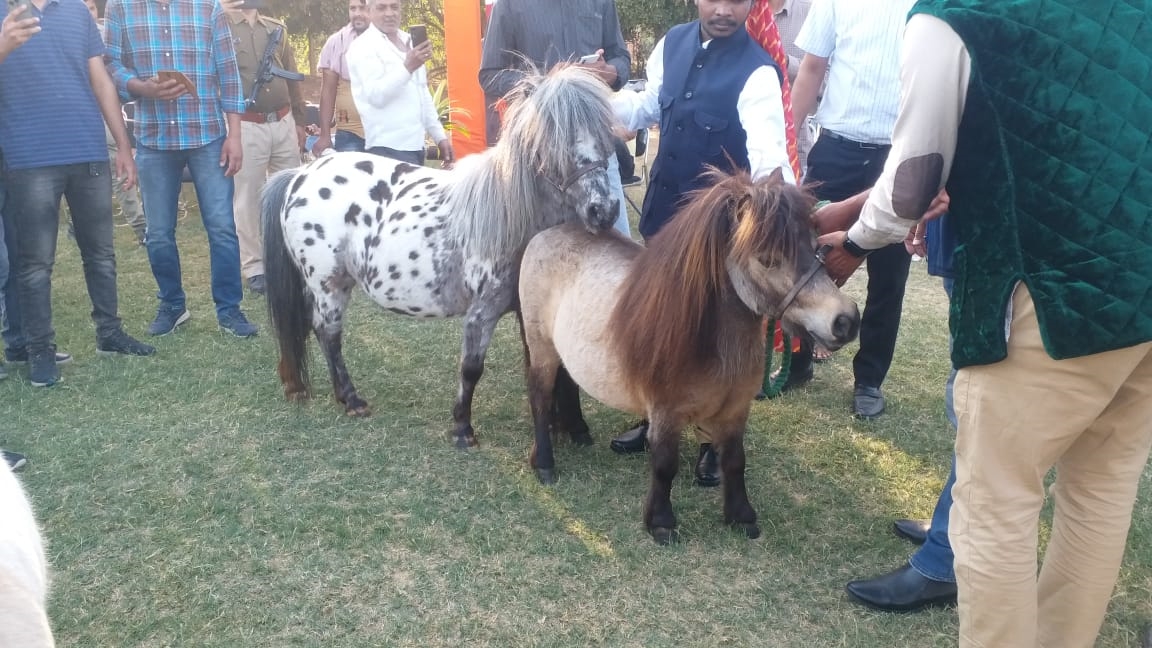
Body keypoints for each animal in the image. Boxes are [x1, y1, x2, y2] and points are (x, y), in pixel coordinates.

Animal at [261, 68, 622, 447]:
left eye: (606, 134)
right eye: (554, 141)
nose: (604, 210)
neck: (509, 217)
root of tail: (300, 175)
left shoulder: (528, 312)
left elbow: (540, 365)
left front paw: (557, 424)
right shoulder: (482, 313)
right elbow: (472, 369)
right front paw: (462, 428)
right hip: (328, 285)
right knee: (328, 333)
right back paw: (352, 399)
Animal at [518, 167, 861, 539]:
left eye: (817, 247)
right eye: (767, 259)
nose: (846, 321)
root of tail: (546, 234)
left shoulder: (735, 412)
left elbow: (735, 461)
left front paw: (741, 516)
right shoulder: (666, 414)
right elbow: (664, 465)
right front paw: (661, 522)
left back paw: (578, 432)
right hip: (541, 347)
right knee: (540, 397)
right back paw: (545, 464)